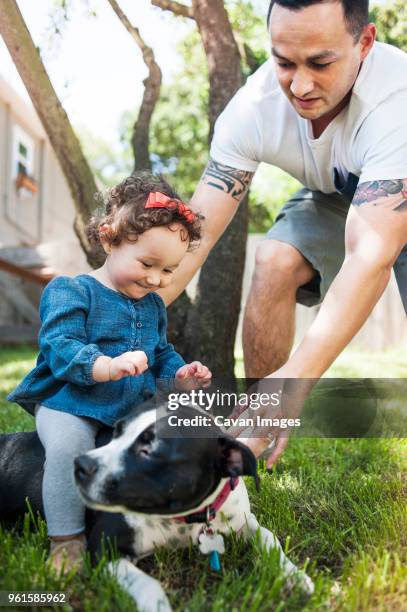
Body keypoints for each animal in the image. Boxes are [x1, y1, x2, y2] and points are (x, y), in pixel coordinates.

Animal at [0, 400, 316, 608]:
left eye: (150, 450)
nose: (81, 464)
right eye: (117, 432)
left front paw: (295, 575)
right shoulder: (104, 548)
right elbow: (148, 583)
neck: (184, 517)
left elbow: (270, 538)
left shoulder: (242, 522)